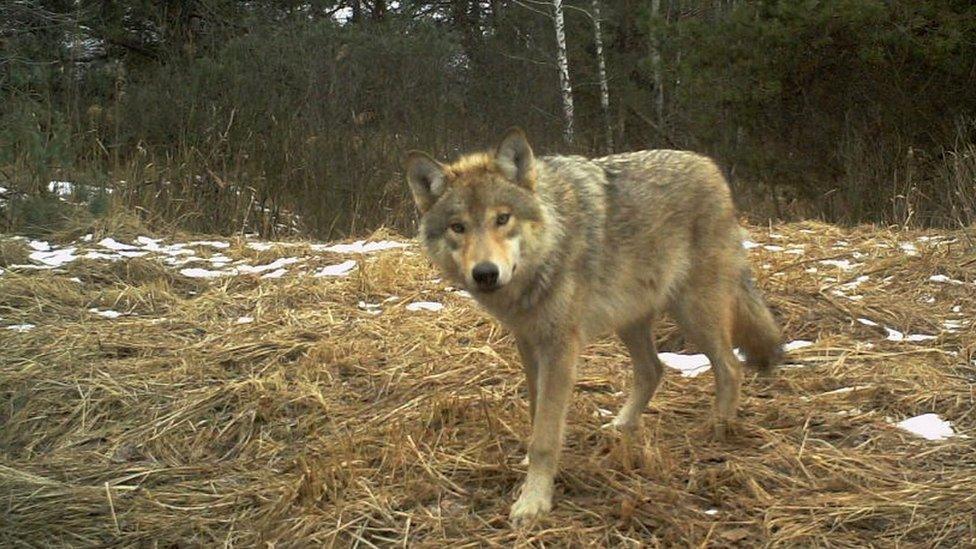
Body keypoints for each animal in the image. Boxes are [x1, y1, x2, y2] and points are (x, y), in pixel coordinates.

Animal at [400, 127, 780, 524]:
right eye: (458, 227)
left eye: (502, 219)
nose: (485, 273)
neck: (545, 253)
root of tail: (709, 166)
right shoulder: (528, 342)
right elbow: (537, 415)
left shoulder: (560, 348)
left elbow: (545, 438)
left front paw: (534, 502)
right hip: (630, 320)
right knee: (653, 369)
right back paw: (621, 426)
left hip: (695, 313)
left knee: (730, 367)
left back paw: (718, 430)